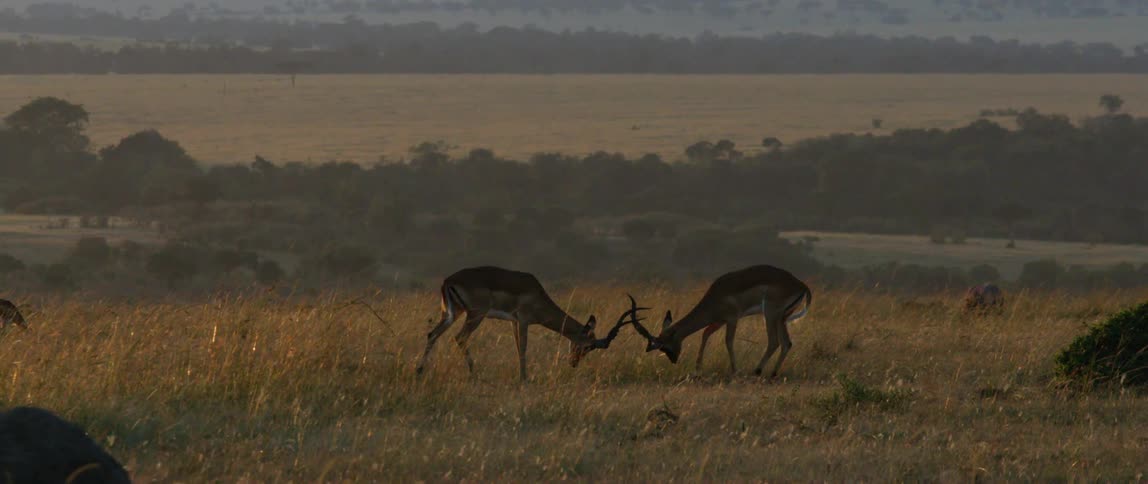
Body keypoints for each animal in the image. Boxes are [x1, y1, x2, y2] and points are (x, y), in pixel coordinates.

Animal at [415, 266, 646, 381]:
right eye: (587, 346)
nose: (573, 363)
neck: (537, 294)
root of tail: (447, 281)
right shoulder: (524, 320)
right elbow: (523, 347)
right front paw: (524, 378)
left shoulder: (514, 322)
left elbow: (518, 346)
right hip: (475, 315)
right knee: (459, 337)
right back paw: (474, 373)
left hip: (451, 314)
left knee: (432, 334)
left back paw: (419, 371)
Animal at [629, 265, 812, 378]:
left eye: (665, 346)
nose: (673, 360)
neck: (715, 297)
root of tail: (802, 285)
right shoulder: (719, 321)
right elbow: (705, 334)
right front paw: (697, 369)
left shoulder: (732, 318)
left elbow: (728, 341)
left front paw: (734, 370)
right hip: (782, 318)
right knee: (787, 343)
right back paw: (773, 373)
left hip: (770, 315)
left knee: (774, 341)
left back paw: (757, 370)